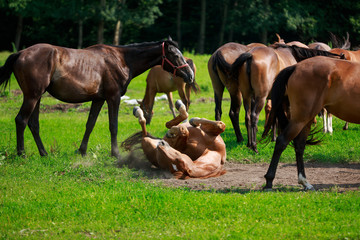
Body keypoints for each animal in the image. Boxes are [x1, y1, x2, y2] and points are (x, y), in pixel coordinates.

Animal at [0, 38, 194, 158]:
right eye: (175, 55)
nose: (190, 75)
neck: (122, 59)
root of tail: (20, 53)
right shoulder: (113, 98)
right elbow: (113, 125)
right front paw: (115, 153)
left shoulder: (98, 99)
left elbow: (90, 124)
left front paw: (82, 151)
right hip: (32, 97)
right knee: (21, 120)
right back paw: (22, 154)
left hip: (37, 97)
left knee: (33, 124)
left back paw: (44, 153)